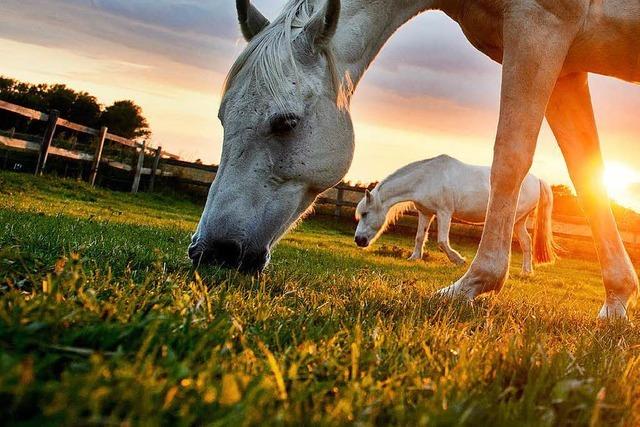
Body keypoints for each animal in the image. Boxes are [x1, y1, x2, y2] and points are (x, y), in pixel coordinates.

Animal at [352, 155, 556, 276]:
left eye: (365, 213)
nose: (359, 240)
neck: (426, 178)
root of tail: (537, 180)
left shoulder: (444, 213)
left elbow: (442, 241)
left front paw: (459, 260)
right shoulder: (426, 213)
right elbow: (419, 237)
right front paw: (414, 258)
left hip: (513, 220)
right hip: (519, 222)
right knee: (527, 243)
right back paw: (526, 271)